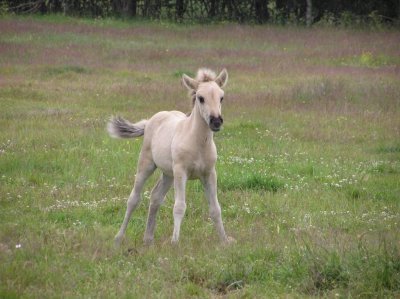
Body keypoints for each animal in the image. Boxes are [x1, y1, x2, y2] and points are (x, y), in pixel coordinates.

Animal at [108, 68, 236, 246]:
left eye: (221, 97)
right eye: (200, 98)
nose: (216, 121)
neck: (197, 143)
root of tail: (149, 121)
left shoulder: (209, 173)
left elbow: (215, 208)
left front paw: (224, 241)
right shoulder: (181, 172)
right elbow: (179, 206)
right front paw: (175, 242)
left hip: (168, 174)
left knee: (156, 197)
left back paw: (148, 239)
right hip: (147, 165)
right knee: (133, 198)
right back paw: (119, 238)